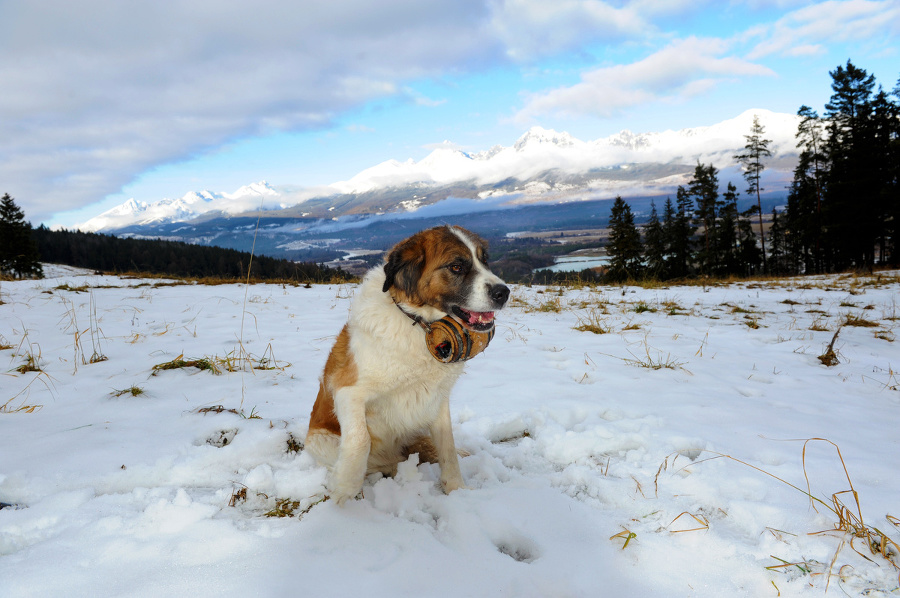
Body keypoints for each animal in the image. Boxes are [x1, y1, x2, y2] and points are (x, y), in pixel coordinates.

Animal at [306, 227, 510, 504]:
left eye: (485, 260)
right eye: (456, 266)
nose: (503, 292)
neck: (420, 325)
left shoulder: (437, 400)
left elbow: (447, 446)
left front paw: (456, 489)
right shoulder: (348, 390)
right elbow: (360, 439)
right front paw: (344, 488)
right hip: (322, 441)